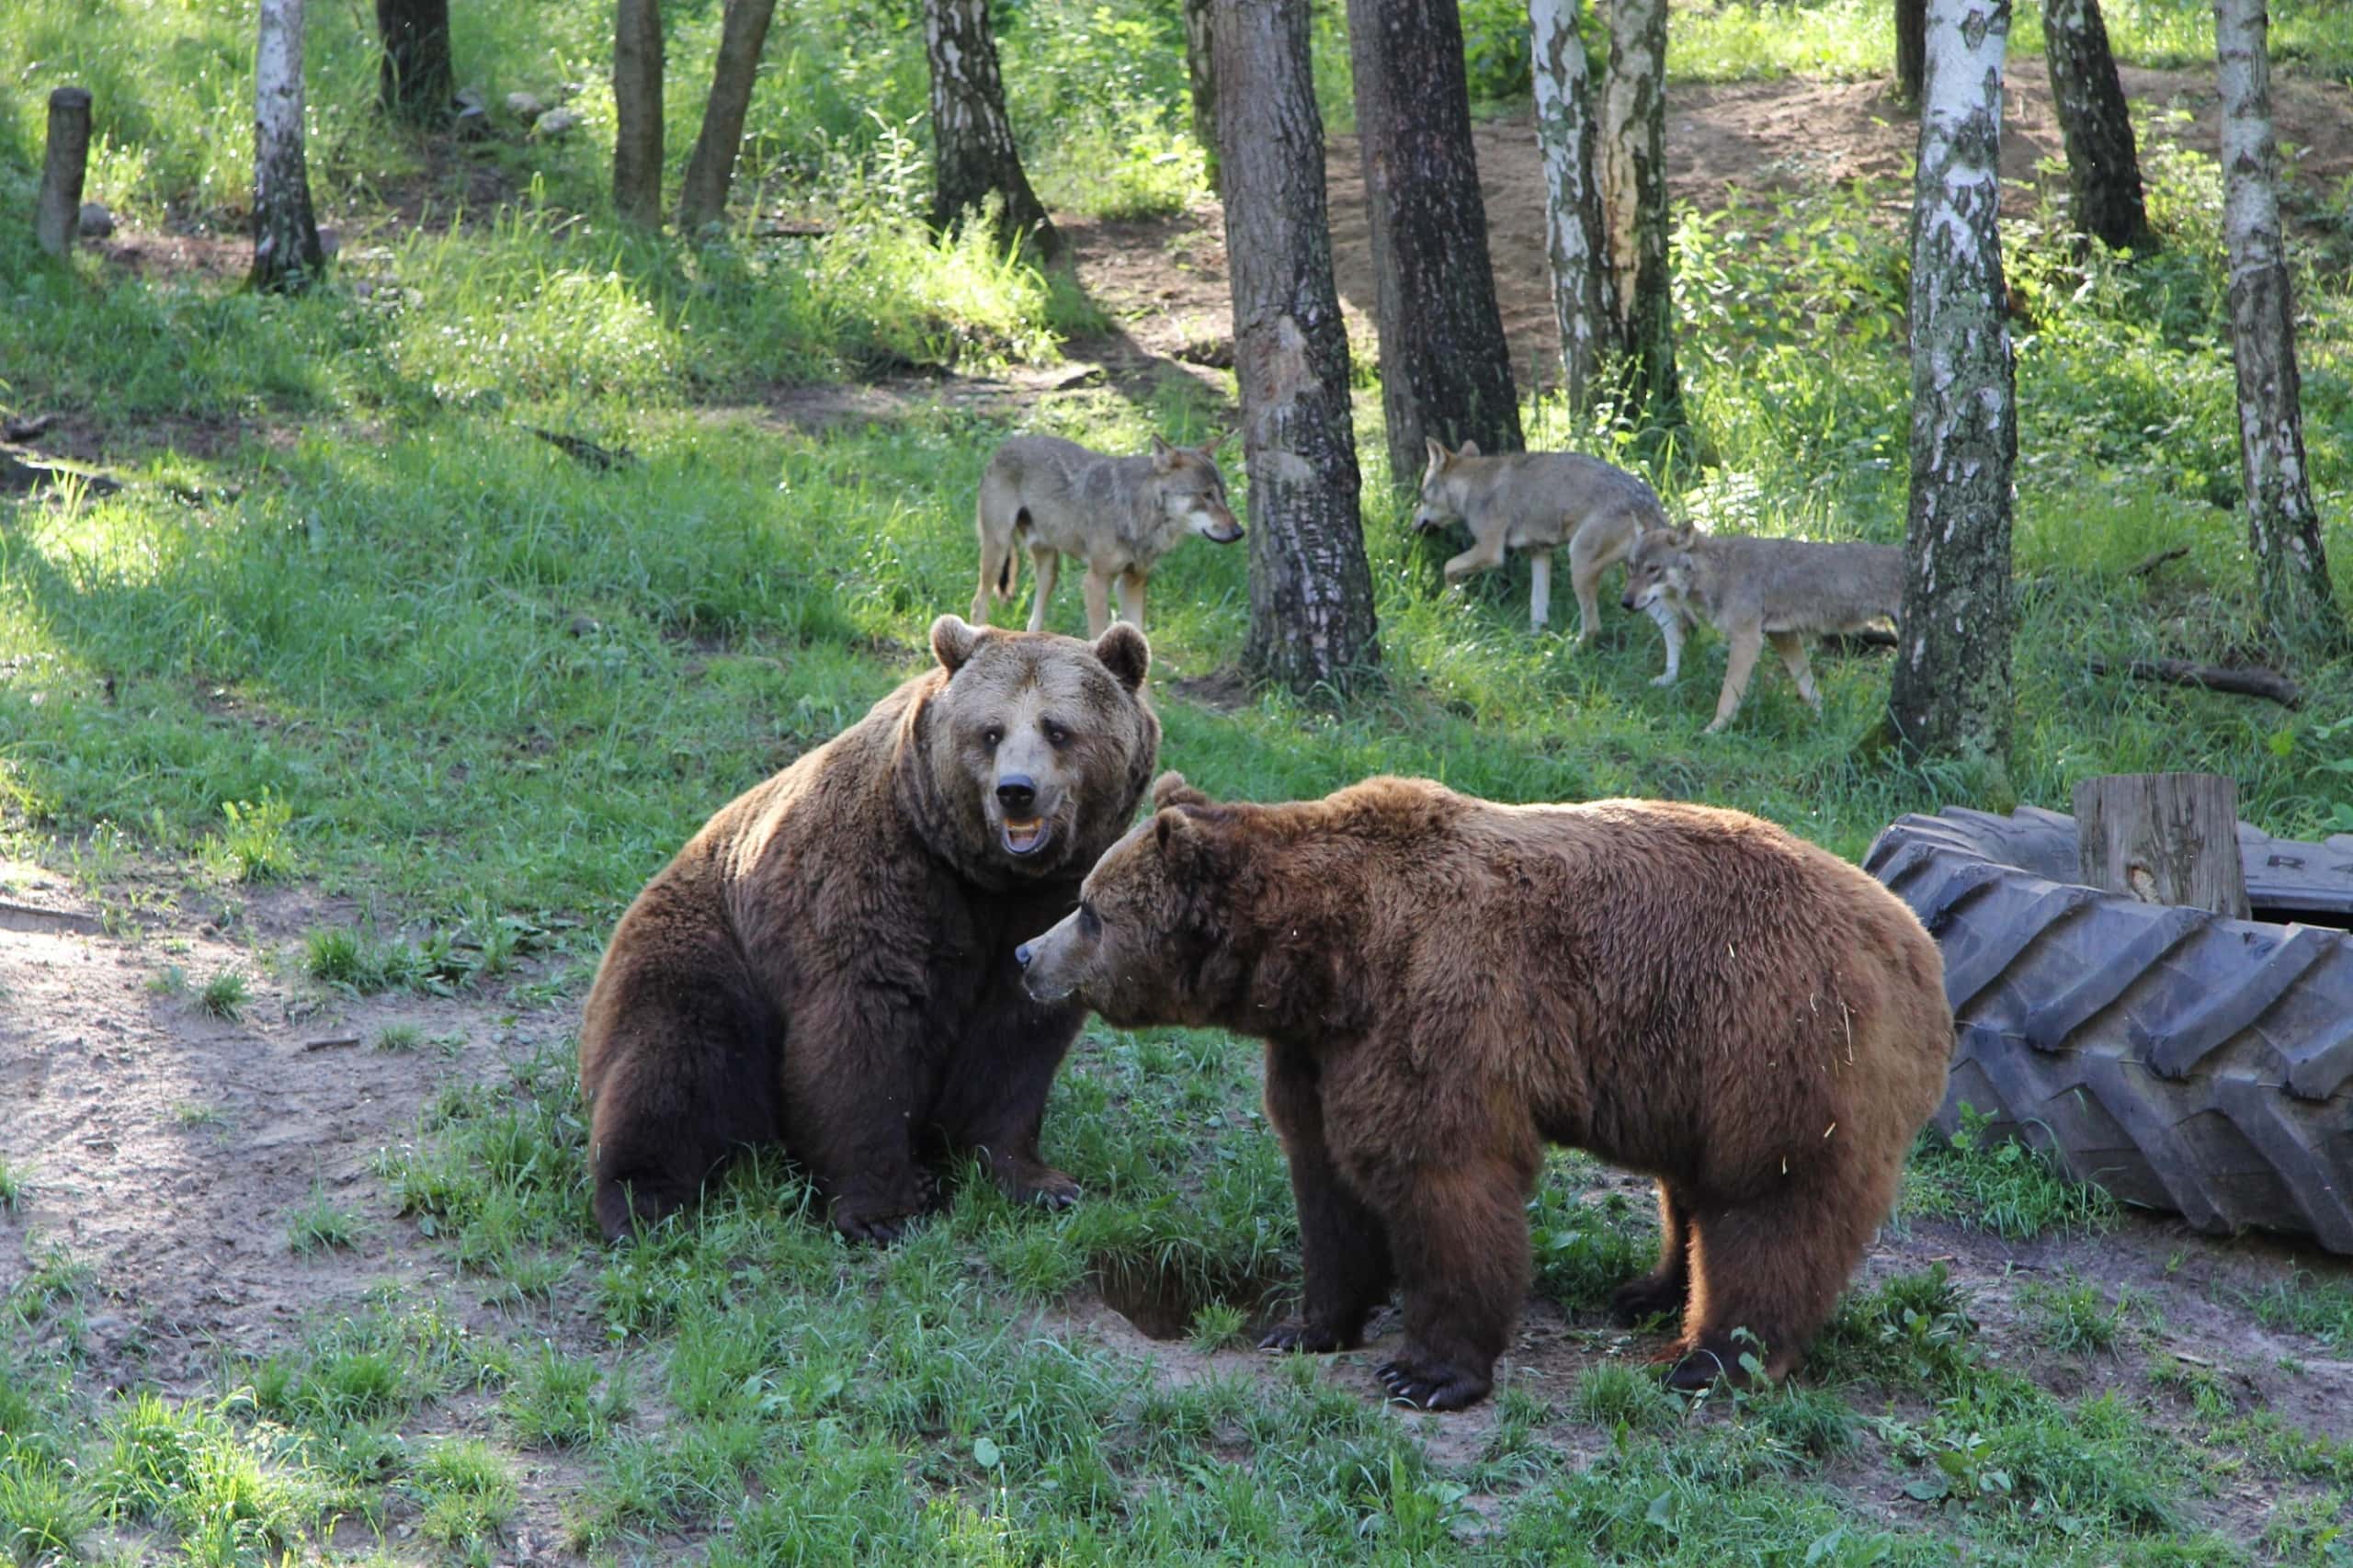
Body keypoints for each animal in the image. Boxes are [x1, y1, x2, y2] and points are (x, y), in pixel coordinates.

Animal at [971, 434, 1241, 638]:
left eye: (1224, 495)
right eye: (1206, 495)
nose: (1240, 532)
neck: (1136, 512)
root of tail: (1005, 445)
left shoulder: (1133, 582)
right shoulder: (1095, 582)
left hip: (1049, 569)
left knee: (1033, 623)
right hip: (998, 551)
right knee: (978, 604)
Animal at [1410, 440, 1675, 647]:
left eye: (1421, 496)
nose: (1413, 525)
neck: (1472, 486)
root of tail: (1648, 501)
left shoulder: (1490, 552)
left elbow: (1448, 566)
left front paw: (1449, 601)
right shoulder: (1540, 554)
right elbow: (1537, 609)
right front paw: (1532, 643)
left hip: (1579, 565)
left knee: (1593, 627)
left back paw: (1566, 651)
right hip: (1640, 591)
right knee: (1673, 629)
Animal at [1620, 526, 1904, 733]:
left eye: (1653, 570)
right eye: (1631, 567)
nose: (1625, 602)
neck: (1720, 571)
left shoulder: (1747, 641)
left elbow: (1727, 696)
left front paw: (1713, 731)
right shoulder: (1783, 636)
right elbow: (1808, 687)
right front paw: (1821, 720)